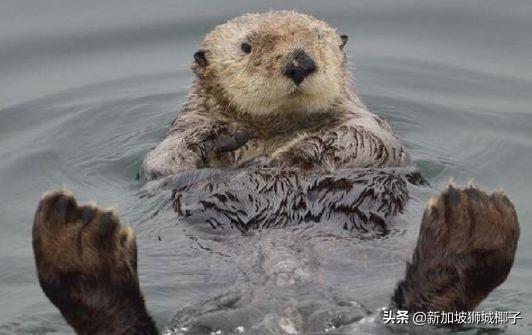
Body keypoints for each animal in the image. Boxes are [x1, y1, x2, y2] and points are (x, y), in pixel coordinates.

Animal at [31, 10, 516, 335]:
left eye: (318, 40)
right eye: (247, 46)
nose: (299, 62)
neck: (274, 129)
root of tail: (283, 313)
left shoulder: (369, 125)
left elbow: (357, 141)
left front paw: (284, 157)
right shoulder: (177, 135)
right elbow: (164, 160)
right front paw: (224, 140)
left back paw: (472, 222)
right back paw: (77, 238)